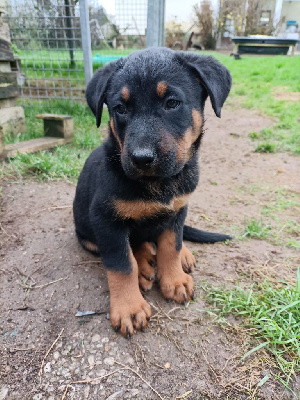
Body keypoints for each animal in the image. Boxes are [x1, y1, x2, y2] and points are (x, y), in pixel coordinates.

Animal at [73, 48, 232, 340]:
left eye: (172, 103)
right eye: (120, 108)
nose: (141, 158)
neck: (158, 184)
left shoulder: (178, 209)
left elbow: (171, 245)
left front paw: (174, 280)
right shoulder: (106, 221)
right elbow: (121, 264)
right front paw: (129, 308)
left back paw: (178, 257)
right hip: (88, 236)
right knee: (134, 248)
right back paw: (144, 267)